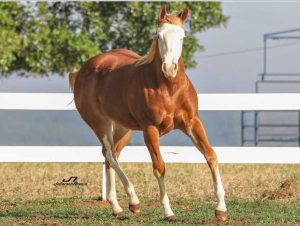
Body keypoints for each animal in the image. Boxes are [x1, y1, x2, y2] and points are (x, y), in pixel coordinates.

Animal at [69, 5, 226, 222]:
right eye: (158, 36)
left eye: (182, 37)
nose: (169, 68)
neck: (169, 89)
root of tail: (83, 71)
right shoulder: (150, 128)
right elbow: (159, 166)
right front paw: (168, 212)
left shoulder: (193, 122)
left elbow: (211, 155)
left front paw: (221, 209)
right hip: (99, 123)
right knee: (110, 154)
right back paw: (133, 201)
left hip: (122, 129)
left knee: (110, 156)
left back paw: (117, 207)